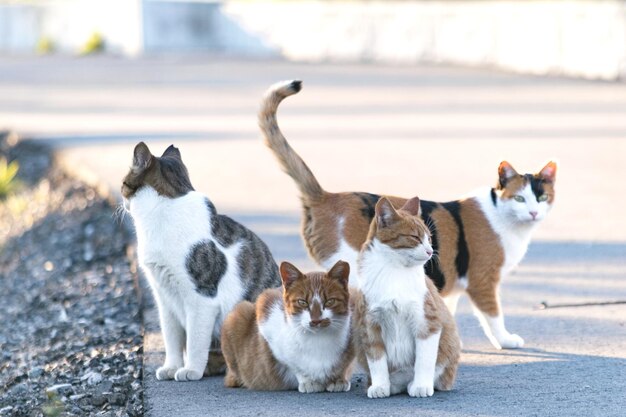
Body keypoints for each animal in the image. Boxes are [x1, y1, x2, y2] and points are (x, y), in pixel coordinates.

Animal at [120, 143, 280, 380]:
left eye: (123, 183)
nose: (122, 200)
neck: (163, 211)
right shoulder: (164, 299)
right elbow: (172, 338)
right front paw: (172, 367)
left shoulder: (201, 299)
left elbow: (195, 340)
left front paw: (191, 370)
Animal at [221, 258, 356, 392]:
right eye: (302, 302)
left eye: (330, 301)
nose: (316, 321)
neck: (318, 339)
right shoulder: (265, 306)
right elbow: (292, 363)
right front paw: (308, 381)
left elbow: (344, 365)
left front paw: (338, 380)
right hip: (238, 312)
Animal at [258, 79, 556, 350]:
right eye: (519, 198)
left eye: (542, 197)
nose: (533, 211)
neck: (506, 221)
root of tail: (325, 196)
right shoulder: (483, 281)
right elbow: (493, 316)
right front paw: (506, 340)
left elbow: (445, 309)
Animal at [352, 195, 458, 396]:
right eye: (415, 237)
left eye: (429, 238)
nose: (430, 251)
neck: (394, 270)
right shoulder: (369, 324)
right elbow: (376, 360)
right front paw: (380, 386)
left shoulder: (427, 321)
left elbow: (424, 360)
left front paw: (422, 385)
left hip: (450, 340)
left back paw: (414, 384)